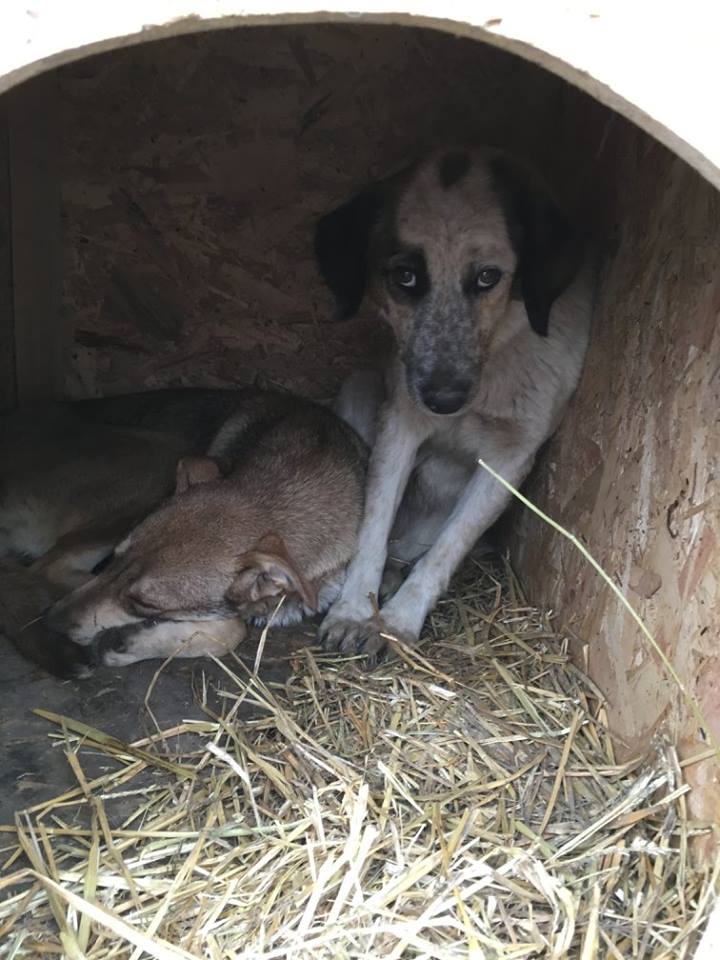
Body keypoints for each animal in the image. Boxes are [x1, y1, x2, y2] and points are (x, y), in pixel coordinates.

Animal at [314, 146, 592, 664]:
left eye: (488, 277)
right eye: (404, 277)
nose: (443, 399)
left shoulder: (511, 456)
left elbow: (448, 546)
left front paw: (398, 622)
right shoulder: (401, 421)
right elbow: (371, 527)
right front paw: (355, 610)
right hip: (362, 387)